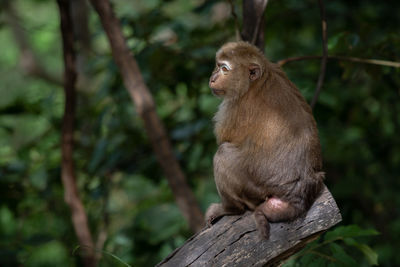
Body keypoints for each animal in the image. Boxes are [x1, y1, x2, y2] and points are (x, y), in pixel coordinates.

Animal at [205, 42, 324, 241]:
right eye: (217, 65)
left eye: (224, 69)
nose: (212, 78)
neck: (255, 81)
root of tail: (297, 195)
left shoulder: (235, 106)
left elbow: (224, 138)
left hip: (256, 190)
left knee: (223, 154)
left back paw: (230, 209)